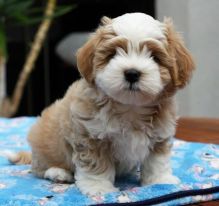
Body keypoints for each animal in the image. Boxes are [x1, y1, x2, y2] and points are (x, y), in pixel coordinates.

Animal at [8, 12, 194, 196]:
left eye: (155, 57)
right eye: (112, 54)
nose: (132, 73)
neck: (130, 107)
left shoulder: (160, 135)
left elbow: (157, 161)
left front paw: (160, 182)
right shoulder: (89, 136)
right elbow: (95, 164)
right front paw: (98, 188)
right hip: (46, 144)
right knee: (40, 169)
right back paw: (58, 173)